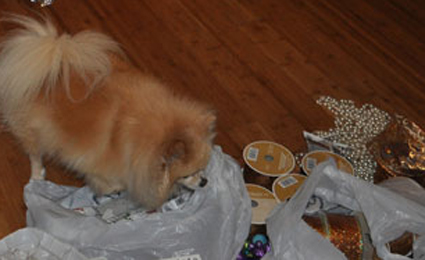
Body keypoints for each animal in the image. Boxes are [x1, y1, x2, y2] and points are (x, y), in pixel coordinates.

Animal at [0, 14, 214, 209]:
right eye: (187, 175)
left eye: (203, 168)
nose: (204, 181)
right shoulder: (96, 164)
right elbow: (112, 183)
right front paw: (114, 190)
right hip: (32, 129)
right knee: (34, 153)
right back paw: (37, 175)